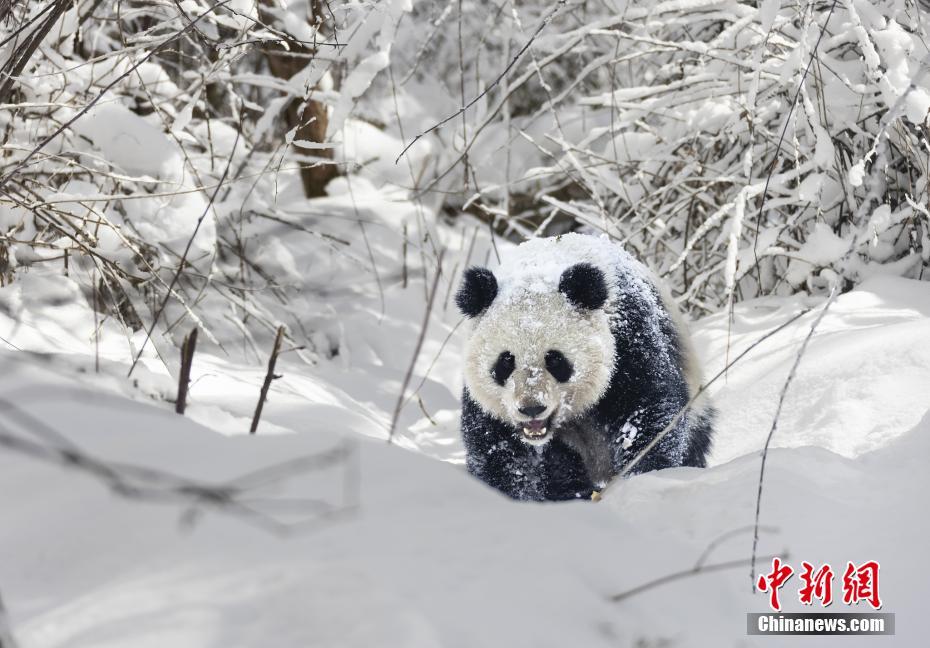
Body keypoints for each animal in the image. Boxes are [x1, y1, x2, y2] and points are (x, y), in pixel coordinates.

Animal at [454, 233, 712, 502]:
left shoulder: (628, 338)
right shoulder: (486, 403)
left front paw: (641, 478)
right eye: (506, 360)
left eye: (555, 359)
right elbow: (496, 447)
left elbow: (648, 411)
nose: (532, 408)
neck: (538, 271)